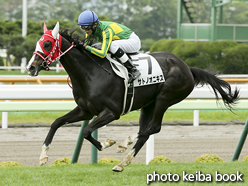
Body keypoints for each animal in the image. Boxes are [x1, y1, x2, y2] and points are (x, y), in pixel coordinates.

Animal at [26, 22, 238, 172]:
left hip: (165, 98)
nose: (30, 67)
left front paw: (106, 143)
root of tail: (188, 68)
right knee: (145, 131)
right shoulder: (85, 110)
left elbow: (87, 131)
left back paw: (123, 145)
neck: (90, 73)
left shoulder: (112, 112)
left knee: (152, 128)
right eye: (38, 43)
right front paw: (43, 157)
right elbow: (56, 122)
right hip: (148, 104)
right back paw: (122, 162)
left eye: (47, 43)